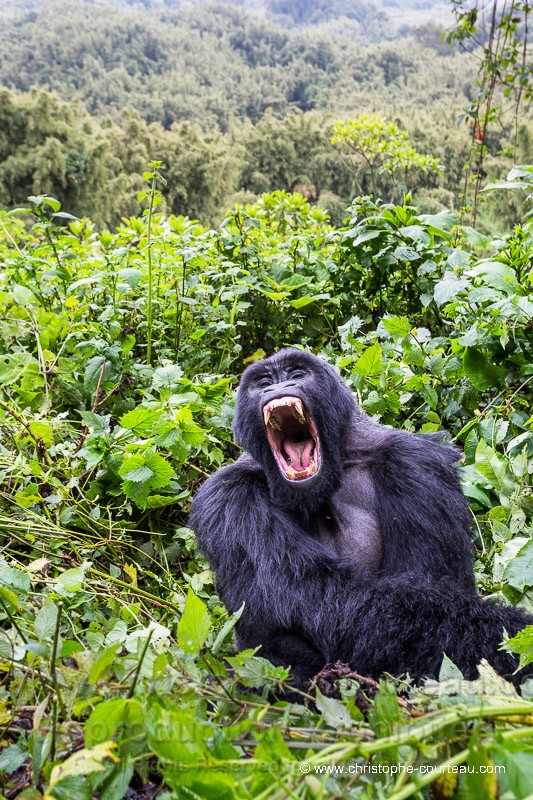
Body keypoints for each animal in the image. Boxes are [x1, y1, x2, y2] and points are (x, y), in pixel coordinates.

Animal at [189, 346, 528, 692]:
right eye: (264, 383)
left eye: (297, 374)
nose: (277, 387)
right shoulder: (228, 496)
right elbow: (315, 597)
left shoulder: (416, 462)